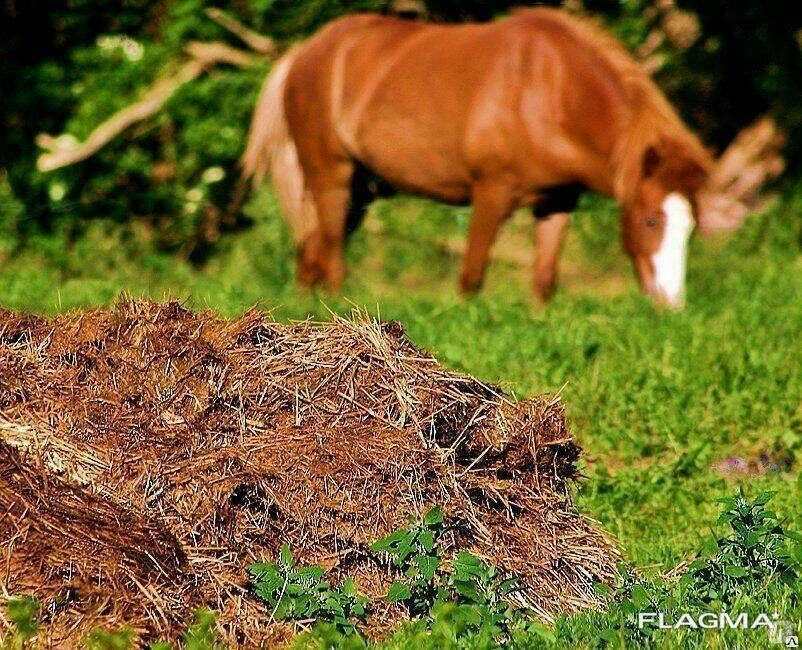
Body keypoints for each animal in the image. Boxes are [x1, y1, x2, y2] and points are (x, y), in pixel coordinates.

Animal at [242, 6, 712, 306]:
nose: (671, 303)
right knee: (332, 255)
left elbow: (544, 281)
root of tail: (303, 51)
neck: (550, 89)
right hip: (331, 176)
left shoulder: (557, 202)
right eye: (650, 220)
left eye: (691, 226)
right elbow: (471, 277)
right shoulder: (491, 192)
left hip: (360, 190)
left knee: (311, 250)